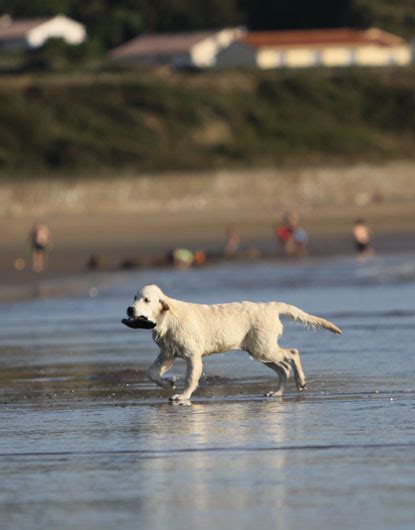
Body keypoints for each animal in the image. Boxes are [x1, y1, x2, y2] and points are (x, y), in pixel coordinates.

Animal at [125, 284, 342, 400]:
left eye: (146, 300)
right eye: (134, 297)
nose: (129, 309)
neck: (167, 318)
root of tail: (271, 306)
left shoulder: (192, 355)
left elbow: (190, 378)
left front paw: (183, 397)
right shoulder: (168, 353)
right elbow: (152, 373)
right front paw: (168, 383)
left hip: (263, 348)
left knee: (292, 353)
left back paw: (301, 381)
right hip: (259, 350)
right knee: (283, 368)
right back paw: (277, 392)